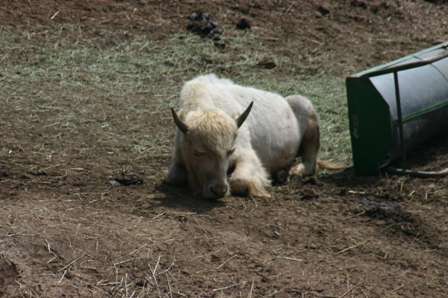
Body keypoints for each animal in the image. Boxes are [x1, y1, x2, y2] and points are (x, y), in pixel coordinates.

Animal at [168, 73, 326, 199]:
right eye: (198, 152)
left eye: (230, 151)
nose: (219, 190)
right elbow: (174, 177)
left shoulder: (247, 156)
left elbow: (239, 181)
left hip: (307, 113)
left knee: (310, 163)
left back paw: (291, 172)